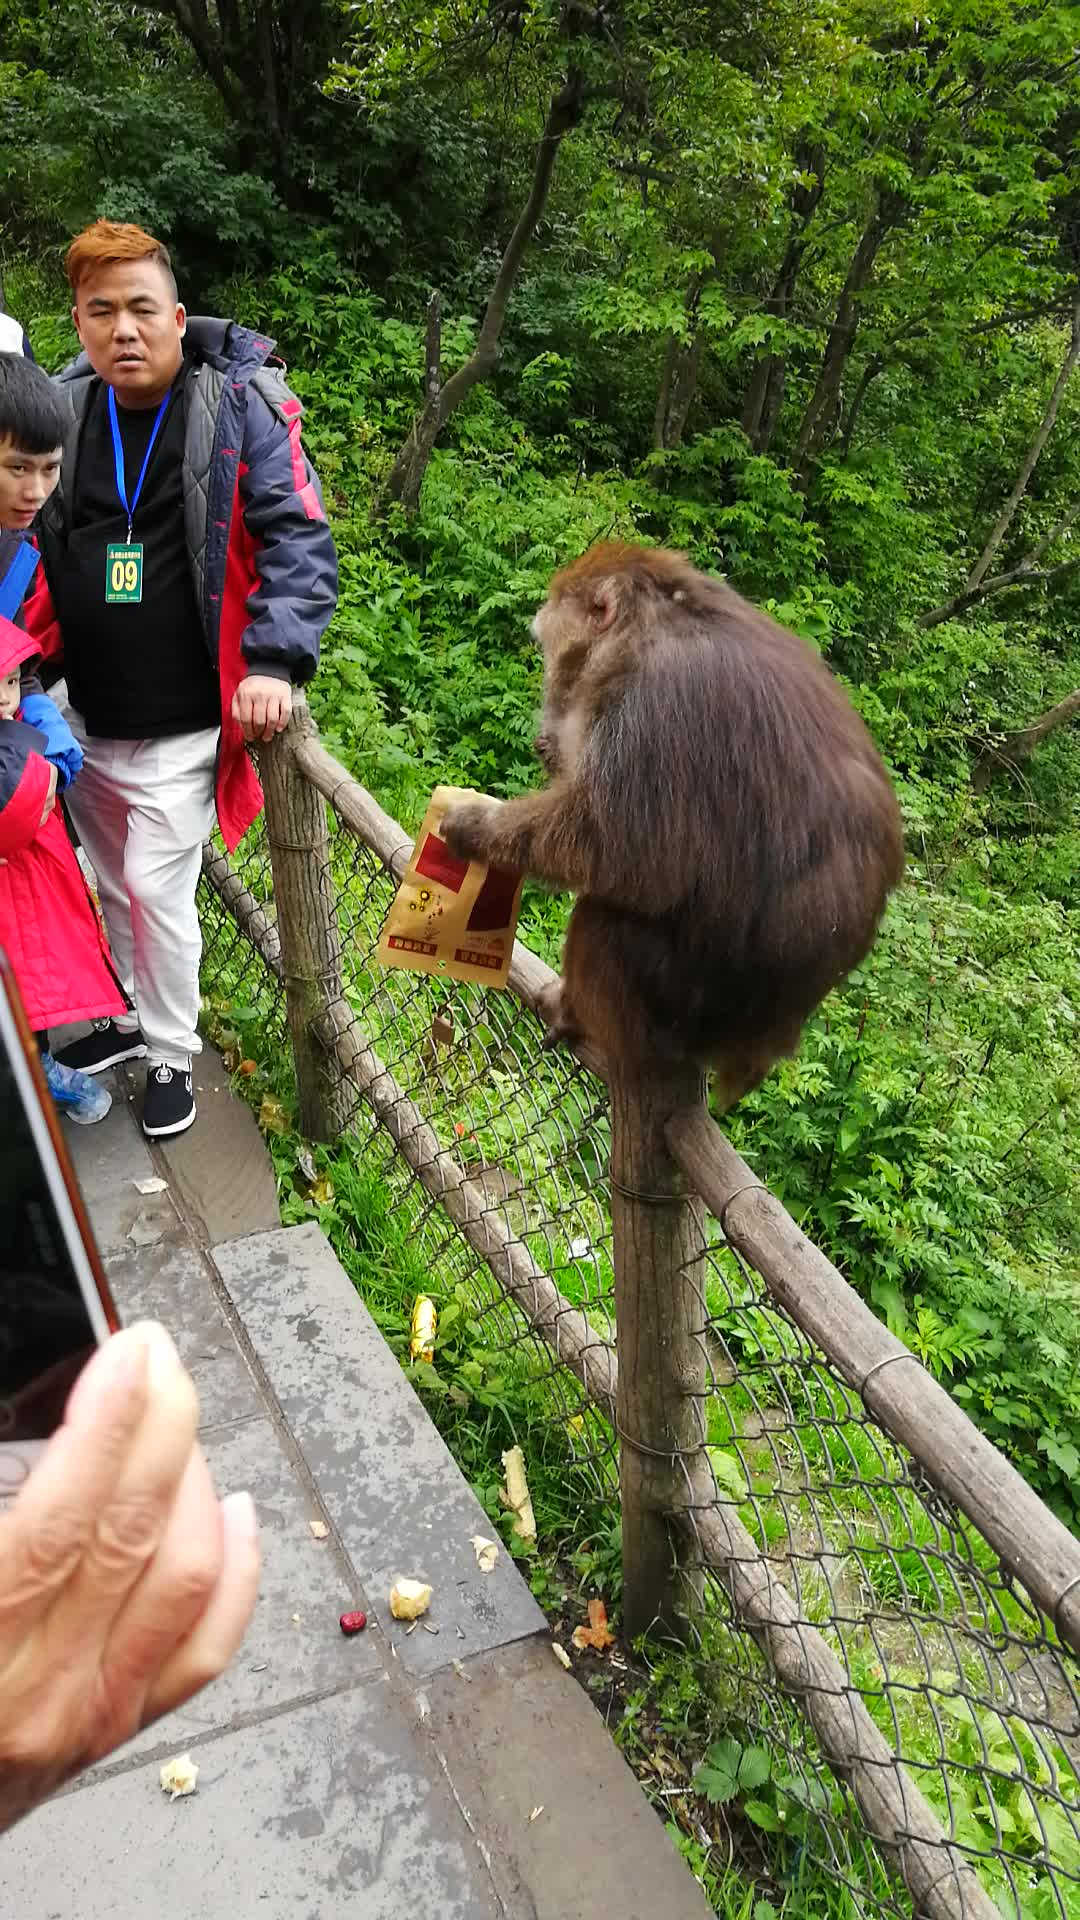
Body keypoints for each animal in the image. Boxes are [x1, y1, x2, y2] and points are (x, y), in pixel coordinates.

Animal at [438, 549, 899, 1105]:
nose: (540, 623)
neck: (656, 619)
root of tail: (758, 1049)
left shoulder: (650, 707)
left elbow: (614, 845)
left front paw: (475, 828)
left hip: (680, 1006)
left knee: (606, 915)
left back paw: (576, 1013)